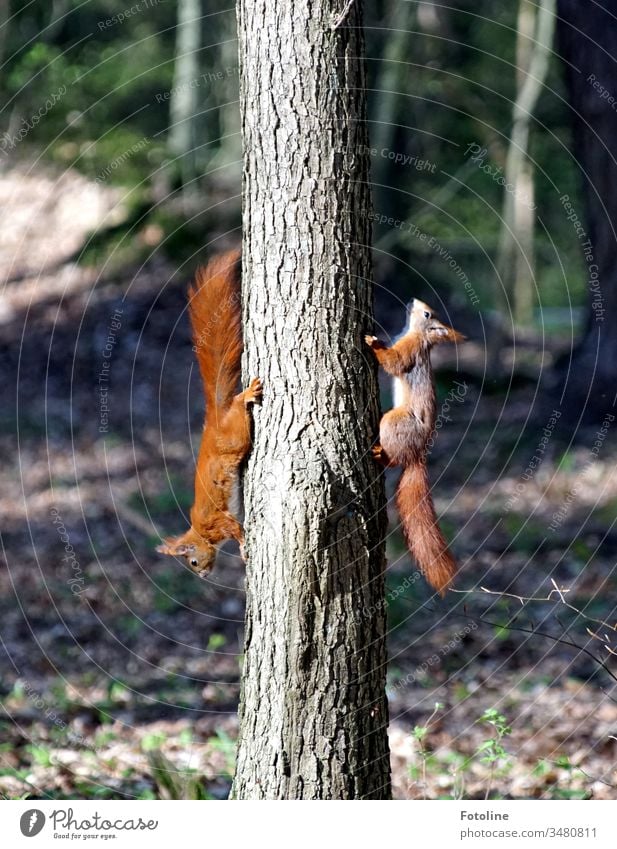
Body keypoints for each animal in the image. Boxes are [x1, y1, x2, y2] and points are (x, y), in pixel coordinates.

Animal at [155, 248, 262, 572]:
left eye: (191, 561)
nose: (203, 574)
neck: (200, 532)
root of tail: (215, 421)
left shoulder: (217, 522)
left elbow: (235, 529)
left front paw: (243, 550)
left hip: (235, 438)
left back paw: (246, 395)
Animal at [366, 300, 462, 596]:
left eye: (428, 314)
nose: (413, 302)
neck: (415, 334)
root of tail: (417, 454)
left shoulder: (410, 351)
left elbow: (394, 362)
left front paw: (372, 343)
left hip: (393, 423)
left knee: (393, 458)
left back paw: (380, 455)